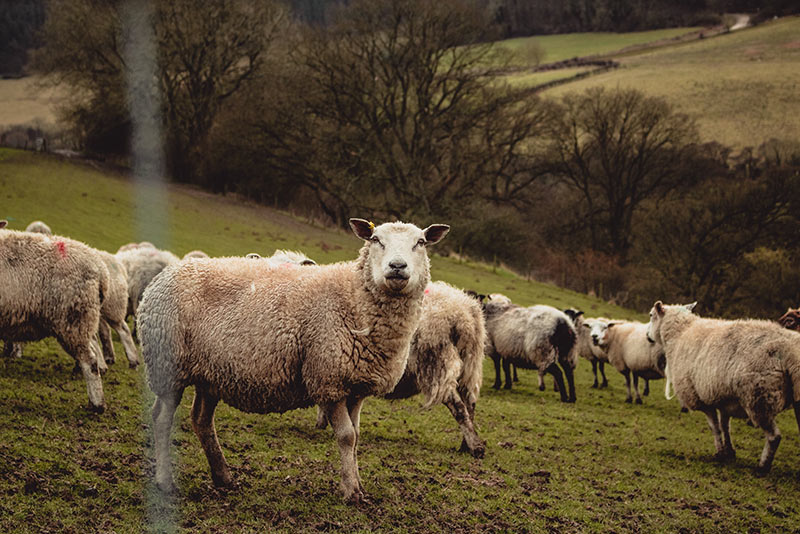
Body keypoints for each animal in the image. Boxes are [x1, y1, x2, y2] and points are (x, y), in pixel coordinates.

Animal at [138, 218, 450, 502]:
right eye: (375, 239)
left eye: (420, 242)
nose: (397, 267)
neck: (353, 298)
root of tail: (167, 273)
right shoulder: (328, 378)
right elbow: (346, 436)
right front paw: (350, 491)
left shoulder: (356, 385)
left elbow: (357, 436)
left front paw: (358, 486)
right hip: (167, 365)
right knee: (162, 419)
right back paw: (165, 482)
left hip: (210, 373)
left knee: (201, 420)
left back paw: (223, 476)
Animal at [648, 304, 800, 476]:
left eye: (651, 315)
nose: (647, 337)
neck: (680, 334)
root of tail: (789, 351)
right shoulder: (723, 399)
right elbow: (725, 426)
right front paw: (729, 451)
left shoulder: (702, 398)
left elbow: (714, 426)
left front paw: (720, 453)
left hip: (760, 398)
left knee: (774, 437)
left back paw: (762, 467)